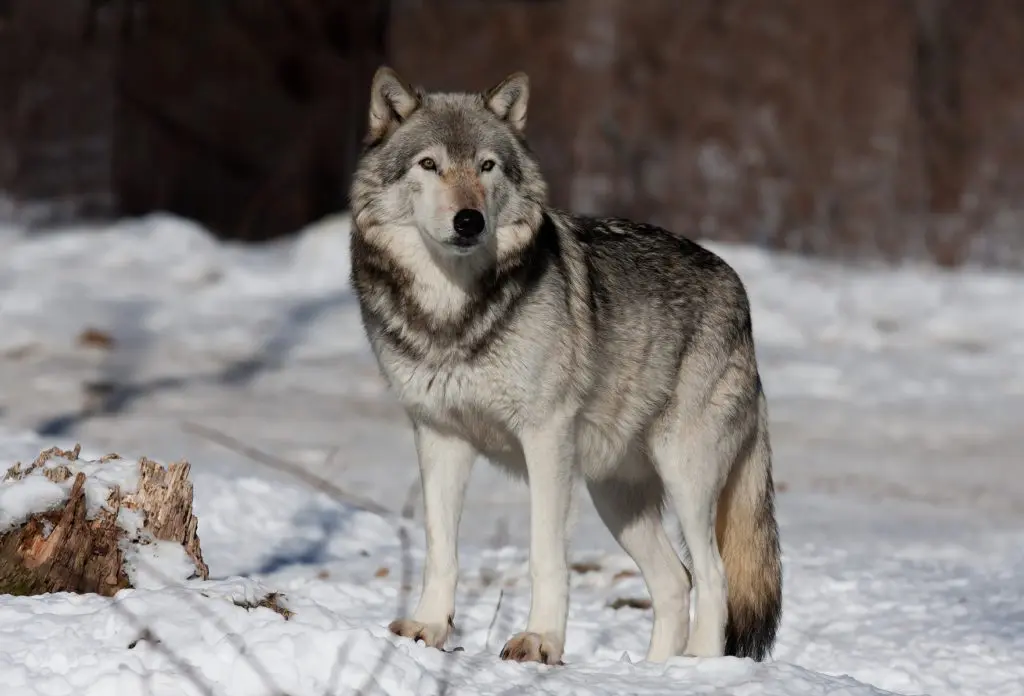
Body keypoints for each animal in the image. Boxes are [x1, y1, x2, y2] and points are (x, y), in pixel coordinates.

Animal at [348, 68, 778, 667]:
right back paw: (656, 672)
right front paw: (428, 628)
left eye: (487, 166)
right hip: (614, 496)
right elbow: (441, 548)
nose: (468, 220)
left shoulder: (545, 438)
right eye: (428, 164)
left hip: (684, 474)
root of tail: (738, 289)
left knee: (713, 578)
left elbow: (544, 554)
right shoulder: (439, 437)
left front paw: (541, 641)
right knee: (676, 582)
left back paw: (699, 668)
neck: (454, 316)